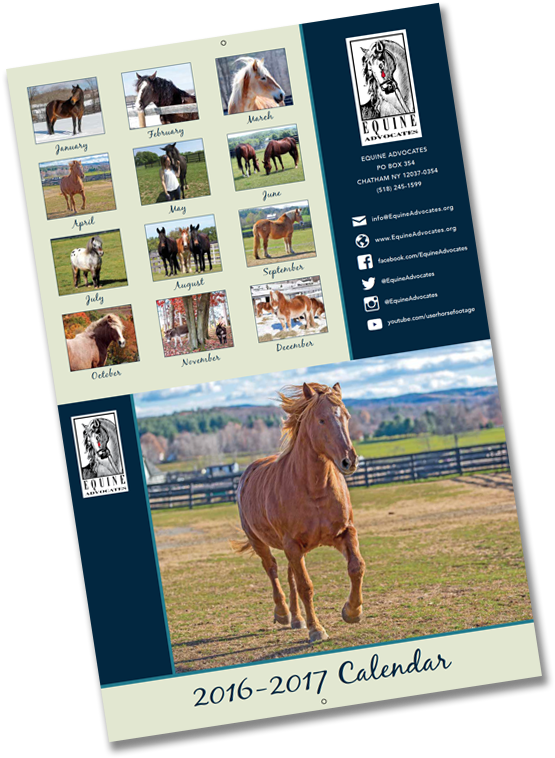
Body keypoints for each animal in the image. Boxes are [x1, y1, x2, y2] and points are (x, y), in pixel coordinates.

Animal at [231, 382, 364, 643]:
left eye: (346, 416)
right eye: (321, 420)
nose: (349, 461)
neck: (314, 489)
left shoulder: (344, 533)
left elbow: (356, 567)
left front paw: (351, 611)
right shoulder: (292, 545)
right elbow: (306, 586)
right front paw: (317, 629)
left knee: (289, 573)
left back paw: (296, 618)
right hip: (260, 541)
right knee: (272, 569)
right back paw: (283, 613)